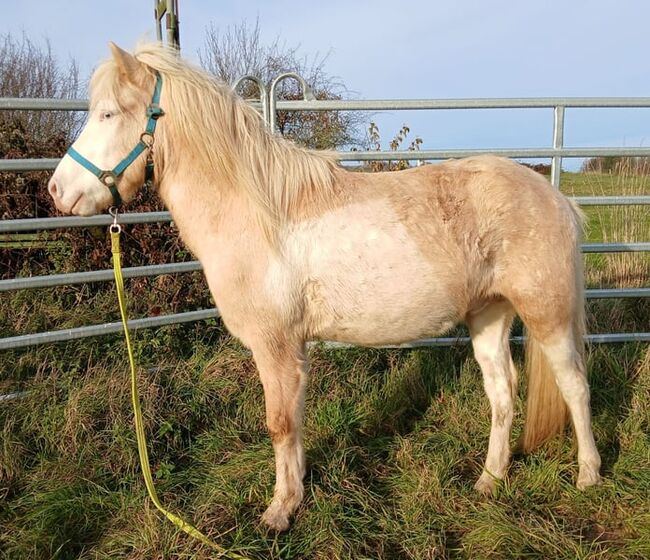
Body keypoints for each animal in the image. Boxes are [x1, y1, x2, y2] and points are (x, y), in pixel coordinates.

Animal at [48, 42, 602, 531]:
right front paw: (293, 496)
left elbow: (279, 424)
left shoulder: (276, 347)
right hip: (488, 314)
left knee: (575, 385)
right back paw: (489, 479)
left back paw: (589, 476)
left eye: (107, 114)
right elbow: (292, 425)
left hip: (547, 313)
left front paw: (280, 511)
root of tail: (556, 198)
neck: (259, 213)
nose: (58, 190)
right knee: (502, 393)